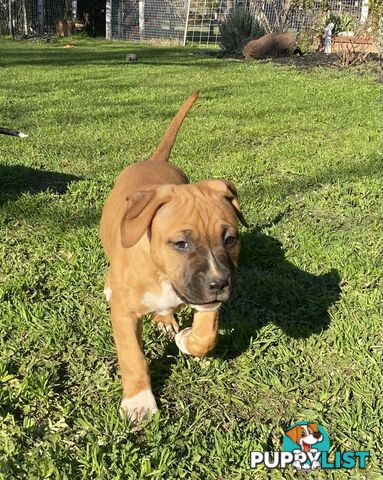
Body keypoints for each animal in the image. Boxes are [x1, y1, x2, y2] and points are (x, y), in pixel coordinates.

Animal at [100, 92, 248, 422]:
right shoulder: (125, 314)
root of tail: (154, 160)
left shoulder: (203, 297)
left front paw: (187, 340)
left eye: (230, 239)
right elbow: (132, 356)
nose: (220, 284)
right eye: (181, 243)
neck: (161, 273)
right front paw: (139, 401)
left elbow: (207, 336)